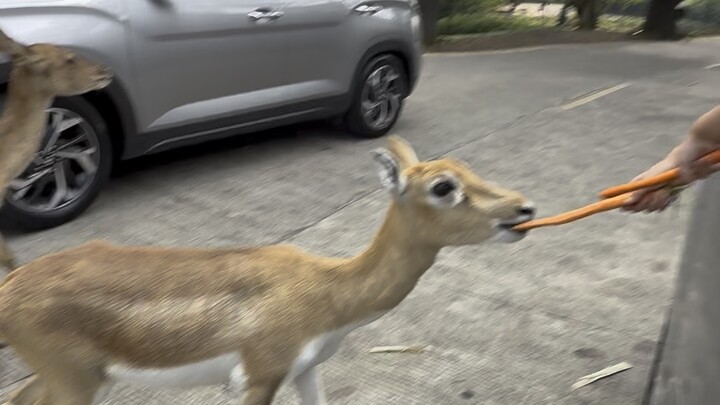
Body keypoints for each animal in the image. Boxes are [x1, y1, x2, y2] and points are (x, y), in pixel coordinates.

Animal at [0, 136, 536, 405]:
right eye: (443, 186)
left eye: (467, 167)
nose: (523, 209)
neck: (326, 294)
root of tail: (9, 287)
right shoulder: (259, 374)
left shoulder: (306, 368)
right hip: (76, 379)